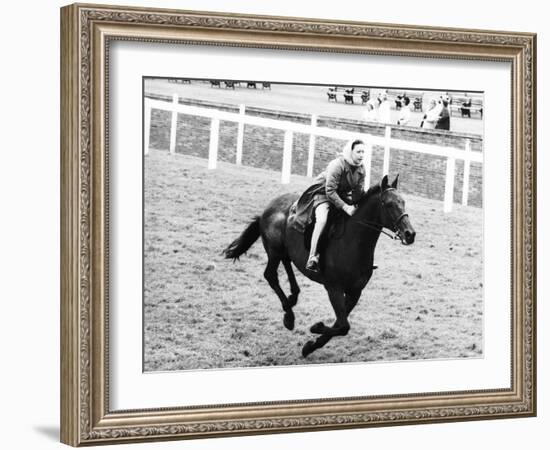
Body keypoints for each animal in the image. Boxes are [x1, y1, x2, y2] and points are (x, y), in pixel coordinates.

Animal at [222, 174, 416, 356]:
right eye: (388, 204)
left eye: (403, 202)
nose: (410, 233)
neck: (353, 242)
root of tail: (268, 208)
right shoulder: (334, 289)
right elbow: (343, 326)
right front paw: (316, 328)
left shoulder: (355, 292)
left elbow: (340, 324)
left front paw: (311, 346)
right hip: (274, 250)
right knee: (270, 275)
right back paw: (289, 316)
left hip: (284, 250)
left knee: (287, 263)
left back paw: (292, 298)